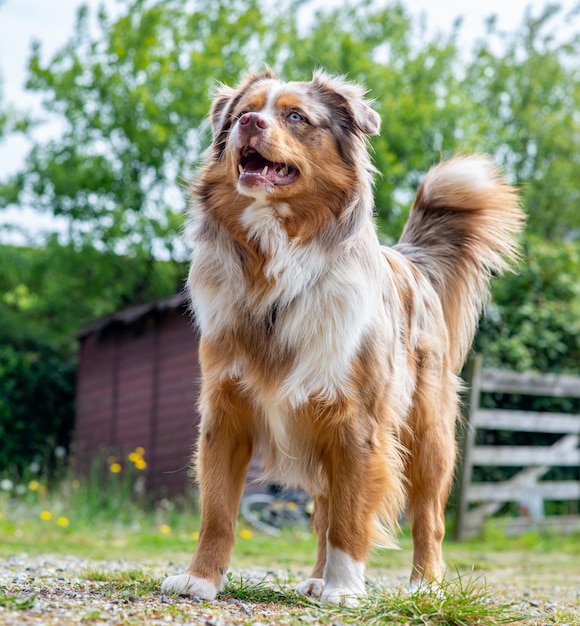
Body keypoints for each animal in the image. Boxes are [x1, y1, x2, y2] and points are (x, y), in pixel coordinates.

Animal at [160, 68, 524, 604]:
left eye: (295, 116)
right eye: (244, 110)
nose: (249, 122)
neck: (277, 266)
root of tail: (410, 260)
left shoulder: (357, 422)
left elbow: (353, 517)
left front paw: (348, 590)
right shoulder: (226, 411)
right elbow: (219, 511)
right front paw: (201, 578)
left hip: (428, 435)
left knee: (426, 518)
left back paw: (423, 585)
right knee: (326, 512)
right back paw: (317, 578)